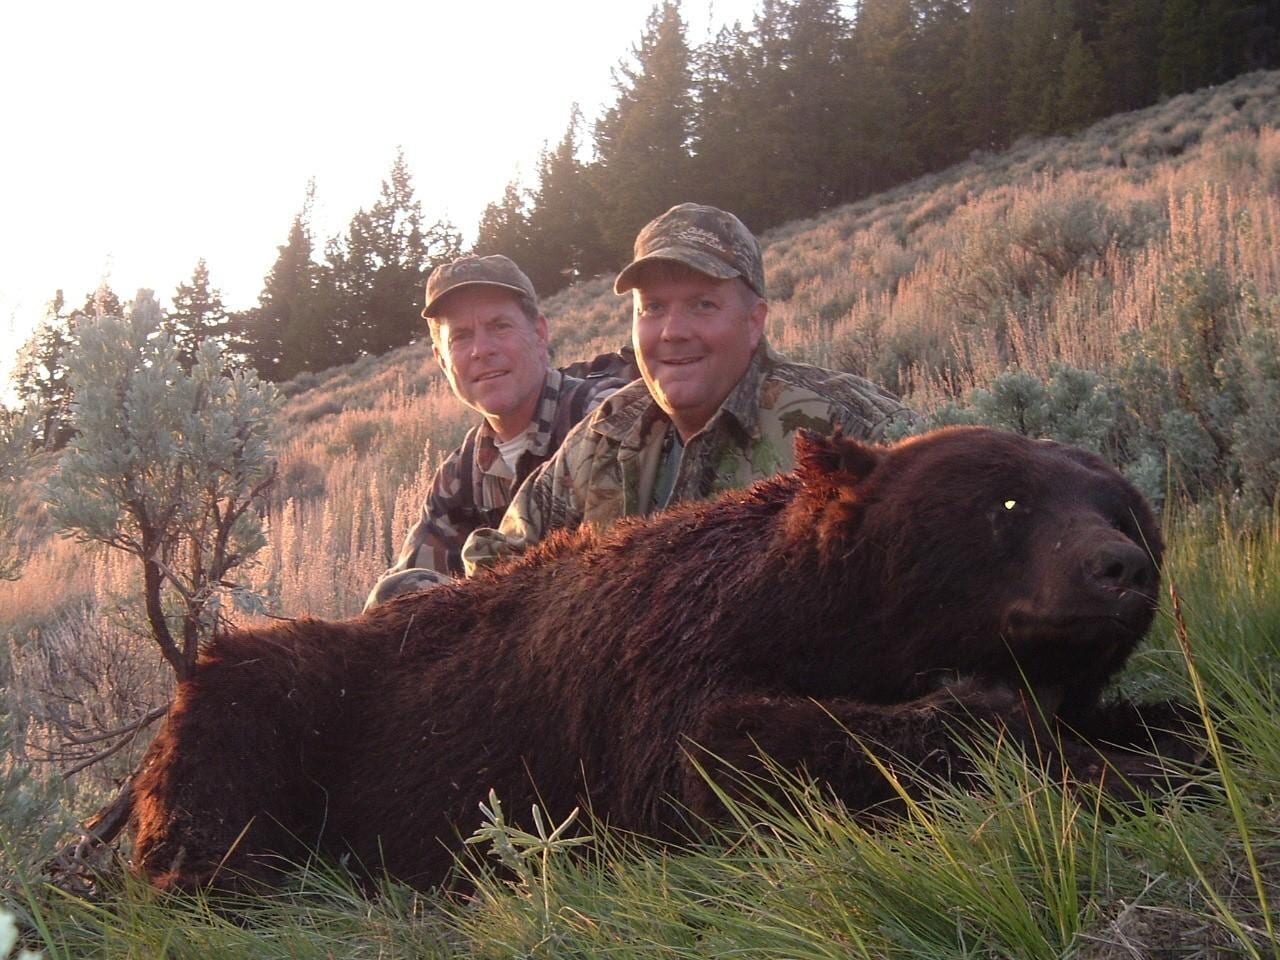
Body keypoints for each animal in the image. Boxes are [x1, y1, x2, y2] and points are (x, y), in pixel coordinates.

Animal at [131, 426, 1197, 893]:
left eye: (1115, 504)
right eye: (1008, 502)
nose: (1122, 568)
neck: (804, 607)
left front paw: (1158, 740)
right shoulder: (657, 676)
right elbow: (719, 753)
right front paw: (1064, 751)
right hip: (268, 705)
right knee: (219, 801)